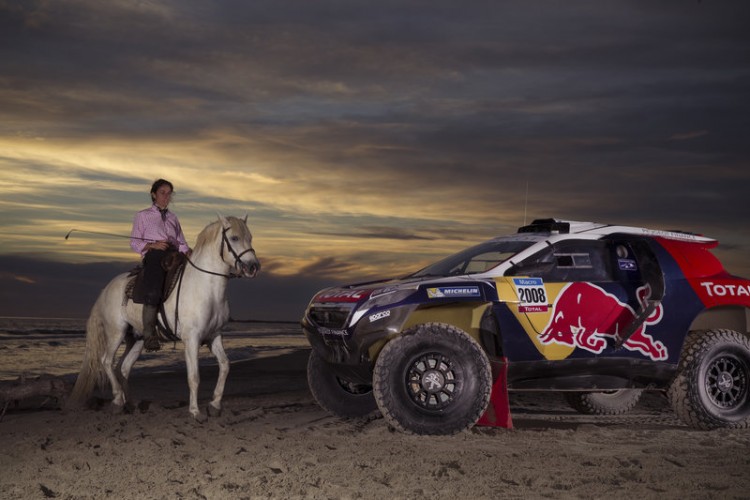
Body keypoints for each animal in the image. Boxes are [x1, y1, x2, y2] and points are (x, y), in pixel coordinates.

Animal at [69, 215, 262, 422]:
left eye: (250, 238)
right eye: (234, 238)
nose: (253, 267)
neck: (206, 288)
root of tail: (106, 289)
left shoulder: (214, 336)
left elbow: (225, 366)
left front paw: (215, 405)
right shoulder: (191, 339)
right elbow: (194, 376)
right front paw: (195, 412)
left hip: (137, 339)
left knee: (123, 368)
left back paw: (130, 404)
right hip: (116, 332)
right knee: (106, 361)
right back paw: (118, 401)